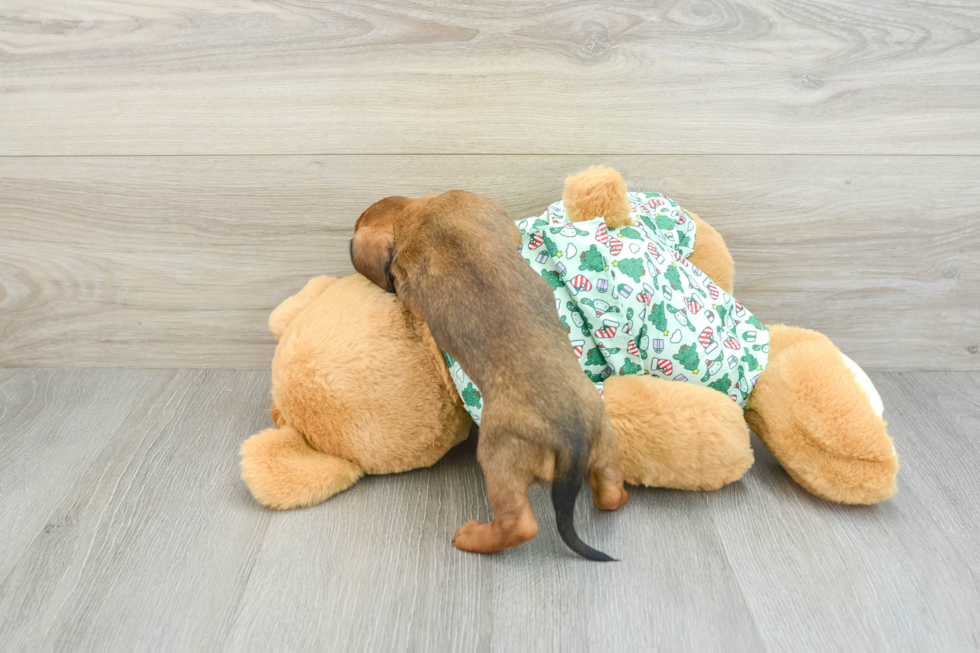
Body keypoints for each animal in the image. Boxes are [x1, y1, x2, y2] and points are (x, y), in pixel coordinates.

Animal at [352, 191, 628, 556]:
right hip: (606, 442)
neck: (418, 215)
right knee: (610, 491)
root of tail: (573, 438)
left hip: (498, 460)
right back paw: (618, 495)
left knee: (518, 525)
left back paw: (472, 537)